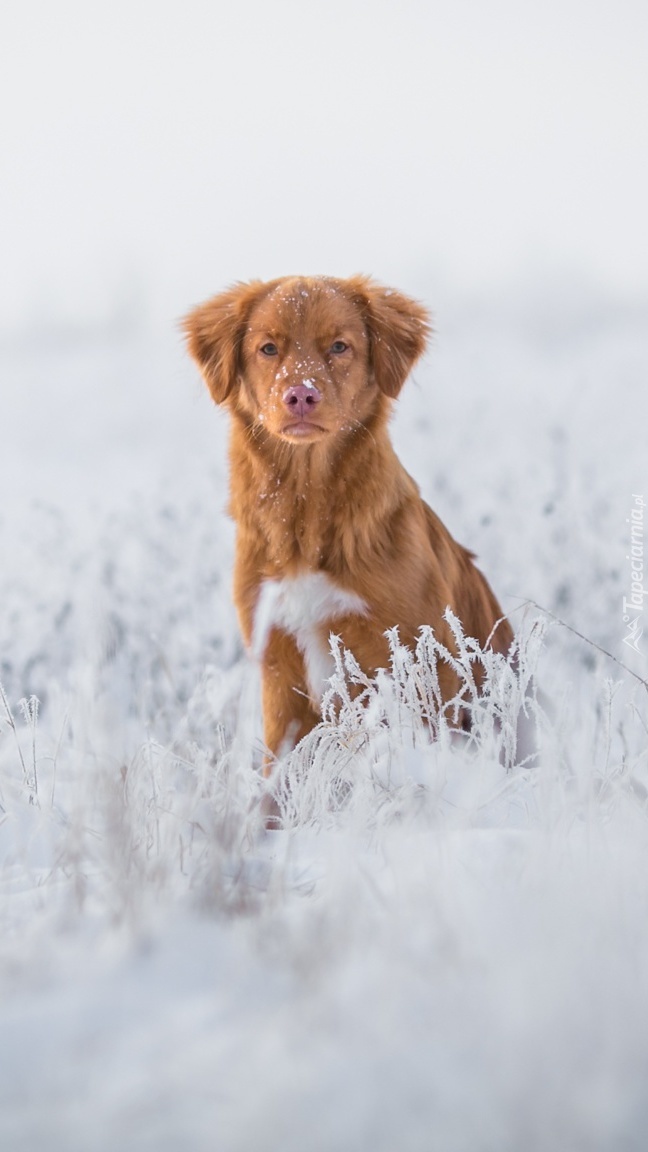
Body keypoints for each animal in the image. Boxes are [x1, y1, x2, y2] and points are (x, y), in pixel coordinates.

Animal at [182, 275, 509, 764]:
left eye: (339, 346)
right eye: (268, 348)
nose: (301, 394)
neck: (305, 514)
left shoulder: (421, 657)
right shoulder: (278, 667)